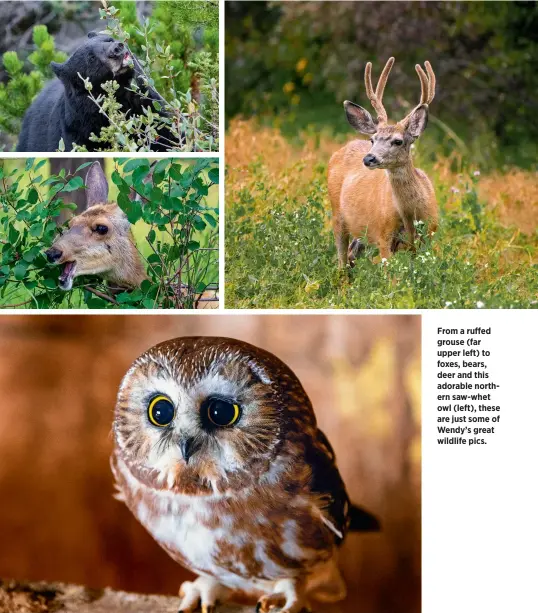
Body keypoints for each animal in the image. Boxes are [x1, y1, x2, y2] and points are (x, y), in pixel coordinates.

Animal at [16, 33, 175, 153]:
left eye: (108, 40)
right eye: (91, 58)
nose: (117, 48)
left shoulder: (150, 109)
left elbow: (167, 134)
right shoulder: (79, 132)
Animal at [326, 56, 436, 266]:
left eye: (398, 141)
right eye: (373, 139)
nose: (369, 158)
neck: (411, 216)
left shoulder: (430, 236)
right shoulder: (383, 236)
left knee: (351, 258)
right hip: (338, 216)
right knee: (342, 262)